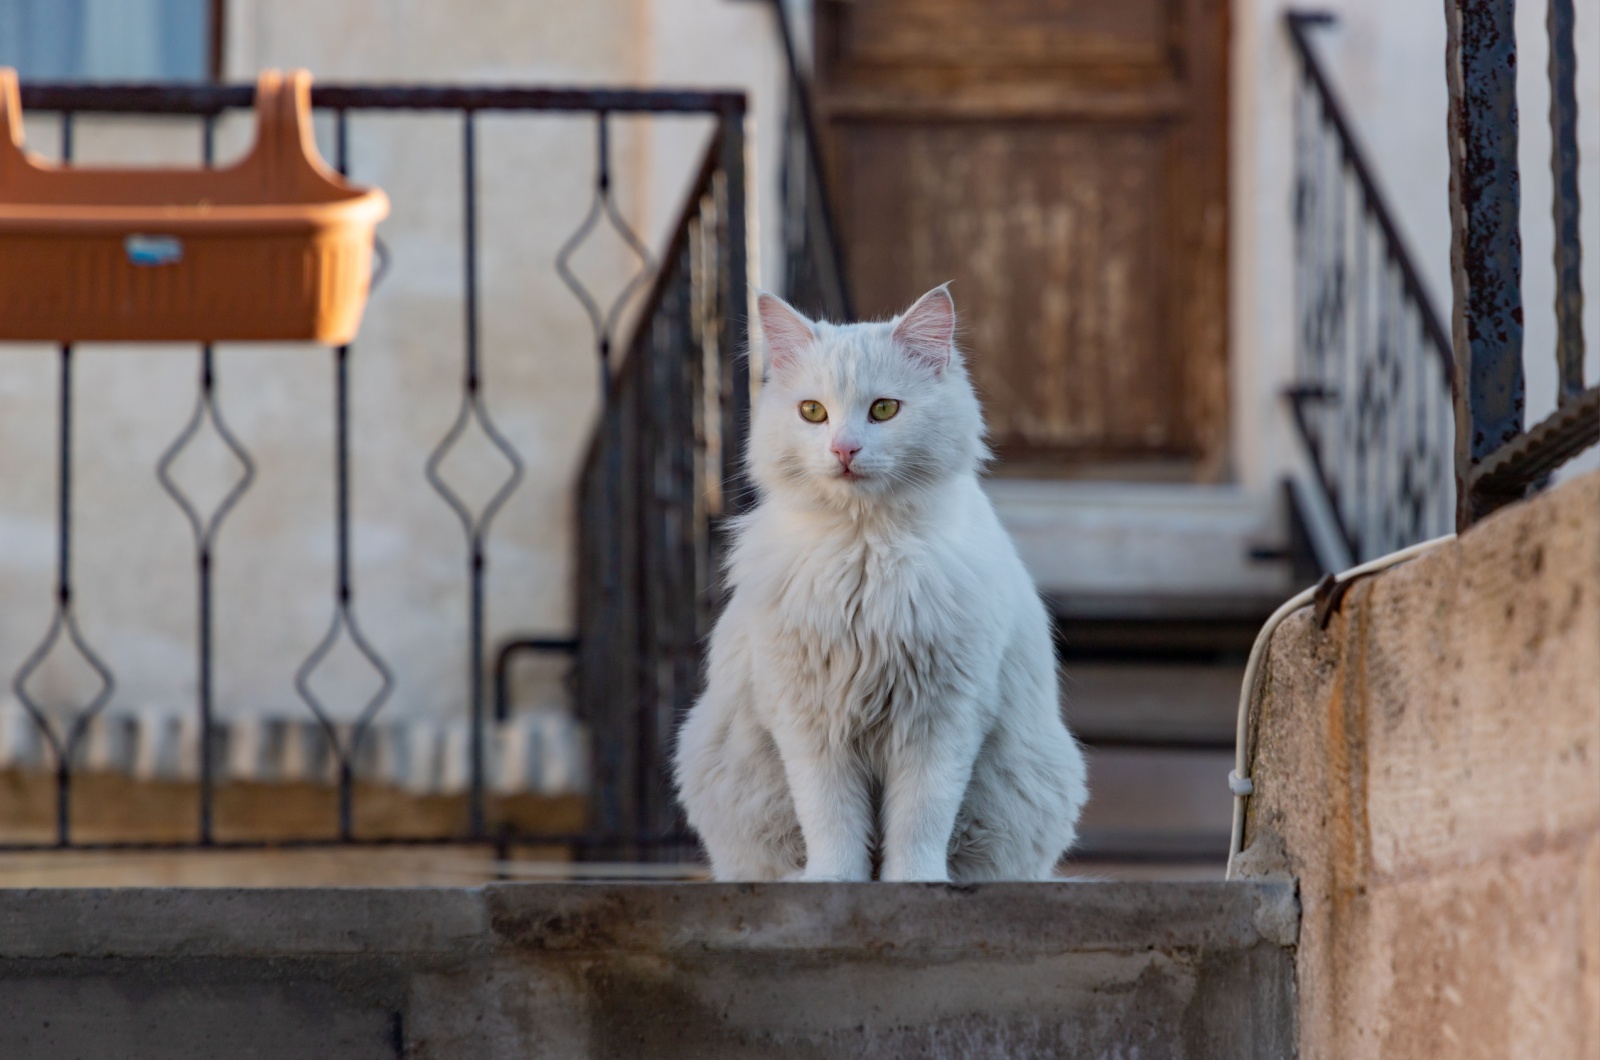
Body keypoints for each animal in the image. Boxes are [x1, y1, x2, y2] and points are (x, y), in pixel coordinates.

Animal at [675, 286, 1088, 883]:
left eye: (884, 410)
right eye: (813, 412)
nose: (844, 450)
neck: (864, 553)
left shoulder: (942, 717)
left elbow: (919, 820)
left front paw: (916, 883)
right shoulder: (809, 720)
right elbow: (832, 820)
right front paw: (833, 881)